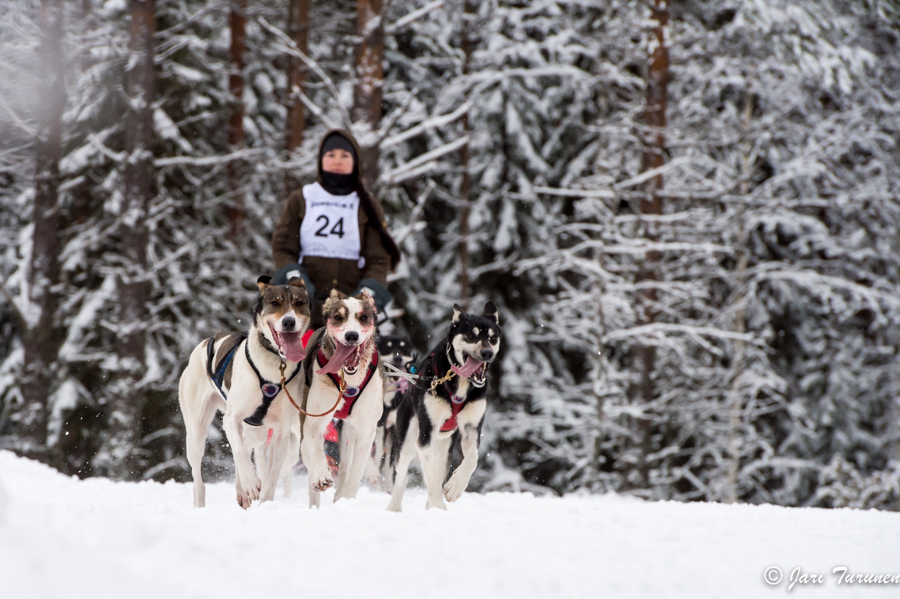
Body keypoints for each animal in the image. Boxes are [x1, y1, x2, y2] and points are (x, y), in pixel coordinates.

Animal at [178, 278, 312, 508]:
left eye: (299, 303)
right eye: (275, 303)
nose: (288, 322)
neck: (276, 364)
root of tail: (207, 341)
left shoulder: (281, 431)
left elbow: (271, 476)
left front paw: (264, 503)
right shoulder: (232, 419)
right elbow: (240, 453)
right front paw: (250, 483)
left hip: (256, 433)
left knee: (248, 446)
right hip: (196, 433)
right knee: (199, 479)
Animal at [298, 288, 384, 508]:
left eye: (364, 317)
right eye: (338, 317)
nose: (351, 335)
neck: (349, 382)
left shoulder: (366, 430)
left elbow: (354, 471)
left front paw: (347, 497)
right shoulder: (314, 421)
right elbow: (316, 452)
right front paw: (321, 476)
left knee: (346, 463)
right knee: (308, 453)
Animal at [384, 302, 500, 512]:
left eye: (492, 337)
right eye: (471, 335)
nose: (487, 353)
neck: (459, 381)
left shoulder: (471, 429)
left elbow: (472, 459)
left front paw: (455, 487)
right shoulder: (426, 434)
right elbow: (431, 476)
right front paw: (438, 506)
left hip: (445, 447)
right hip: (406, 440)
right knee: (402, 476)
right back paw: (394, 508)